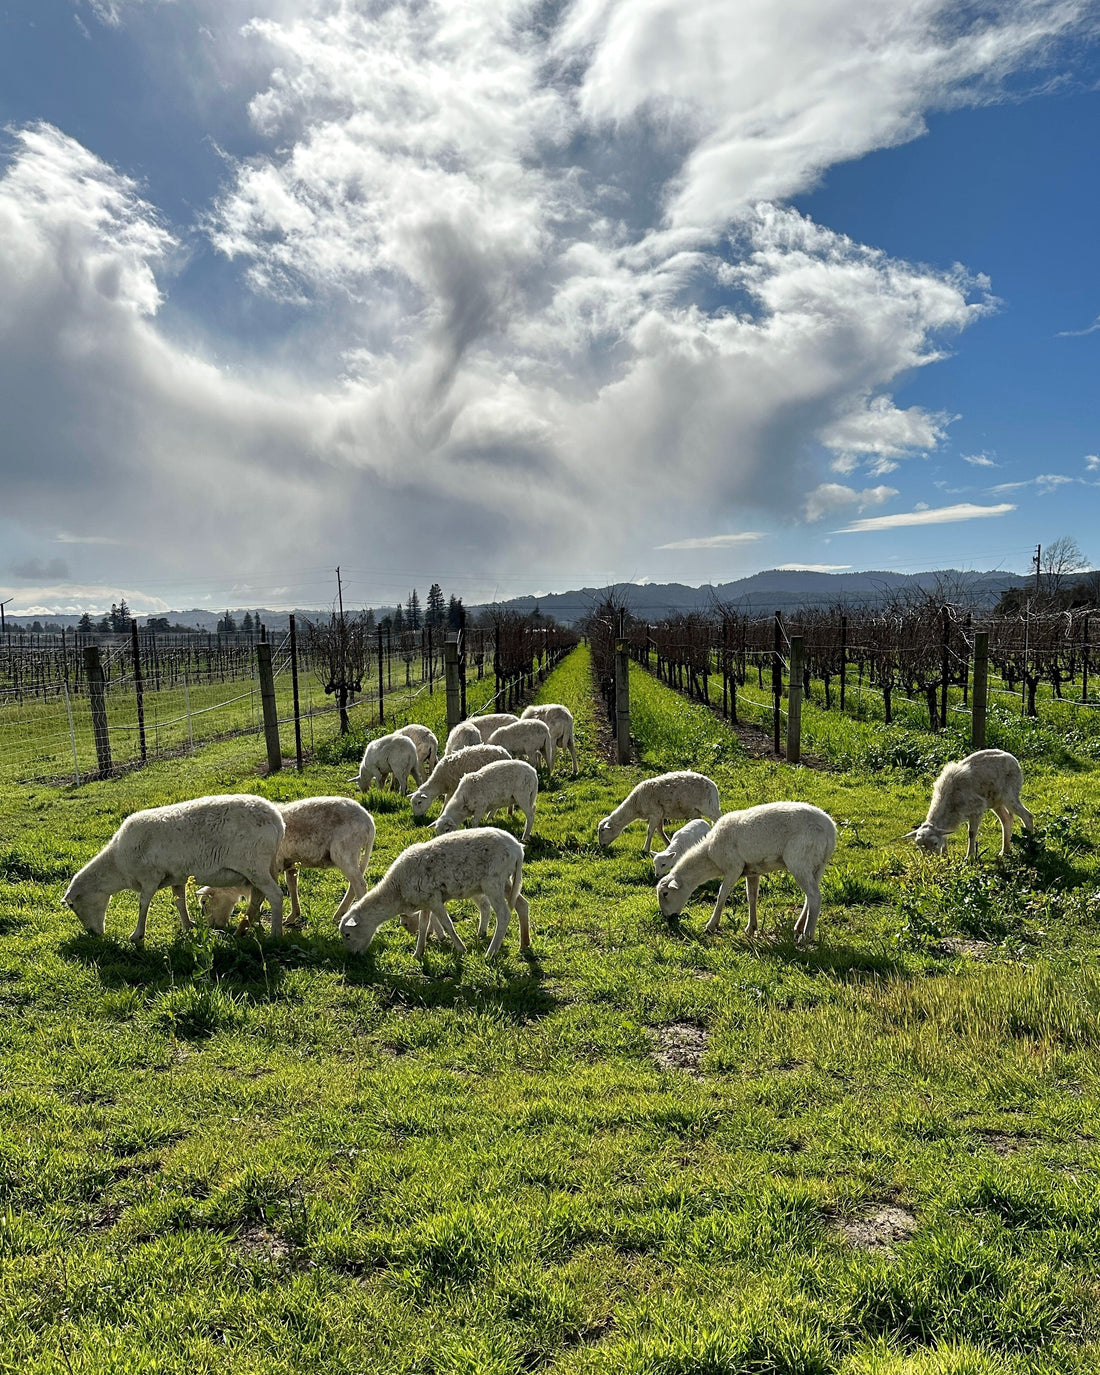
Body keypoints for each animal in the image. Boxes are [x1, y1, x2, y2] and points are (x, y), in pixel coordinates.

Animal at [61, 797, 286, 946]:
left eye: (72, 905)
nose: (93, 934)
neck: (117, 864)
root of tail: (277, 820)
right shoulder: (177, 877)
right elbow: (179, 902)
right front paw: (188, 926)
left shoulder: (149, 877)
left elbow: (143, 904)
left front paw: (137, 935)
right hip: (259, 869)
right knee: (257, 898)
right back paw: (243, 930)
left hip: (255, 866)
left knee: (275, 895)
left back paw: (275, 934)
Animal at [193, 803, 374, 929]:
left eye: (204, 902)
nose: (213, 927)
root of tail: (369, 821)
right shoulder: (290, 865)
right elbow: (291, 886)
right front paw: (292, 916)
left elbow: (261, 896)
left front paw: (255, 922)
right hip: (351, 853)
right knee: (354, 884)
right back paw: (339, 914)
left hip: (345, 850)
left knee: (360, 884)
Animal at [343, 825, 533, 957]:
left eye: (347, 935)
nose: (353, 956)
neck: (397, 891)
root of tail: (517, 848)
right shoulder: (426, 900)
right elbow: (423, 925)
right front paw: (418, 953)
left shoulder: (434, 899)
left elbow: (447, 924)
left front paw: (461, 948)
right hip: (506, 881)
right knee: (522, 905)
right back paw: (524, 944)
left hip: (493, 881)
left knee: (504, 914)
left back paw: (491, 952)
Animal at [654, 803, 836, 946]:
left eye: (665, 893)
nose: (667, 917)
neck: (710, 857)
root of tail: (830, 830)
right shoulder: (752, 870)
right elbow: (752, 896)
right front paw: (751, 928)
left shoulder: (734, 867)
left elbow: (722, 895)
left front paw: (711, 925)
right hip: (817, 865)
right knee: (809, 896)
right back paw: (799, 927)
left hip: (799, 859)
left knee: (815, 896)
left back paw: (806, 936)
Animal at [902, 753, 1034, 858]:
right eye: (919, 846)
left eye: (935, 843)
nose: (930, 860)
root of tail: (1012, 758)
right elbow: (945, 835)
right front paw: (945, 856)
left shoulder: (977, 808)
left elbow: (971, 833)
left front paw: (969, 857)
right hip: (995, 801)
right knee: (1006, 820)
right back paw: (1005, 851)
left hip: (1010, 794)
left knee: (1027, 816)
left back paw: (1030, 846)